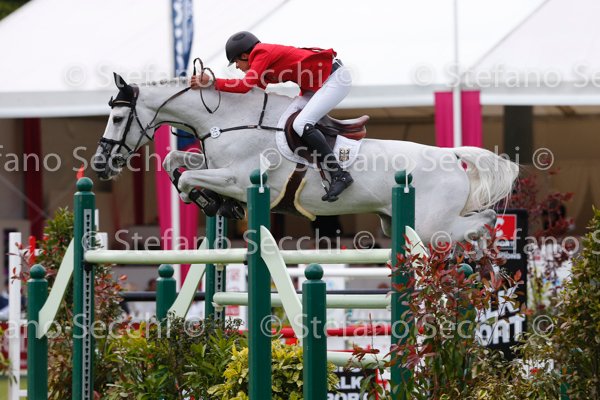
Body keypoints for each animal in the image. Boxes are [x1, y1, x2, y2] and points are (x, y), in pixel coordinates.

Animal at [93, 73, 519, 243]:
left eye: (117, 118)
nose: (99, 165)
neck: (227, 119)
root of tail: (450, 154)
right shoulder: (216, 164)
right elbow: (176, 163)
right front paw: (213, 203)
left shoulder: (238, 179)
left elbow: (185, 179)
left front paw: (209, 201)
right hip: (399, 222)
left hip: (432, 226)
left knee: (484, 219)